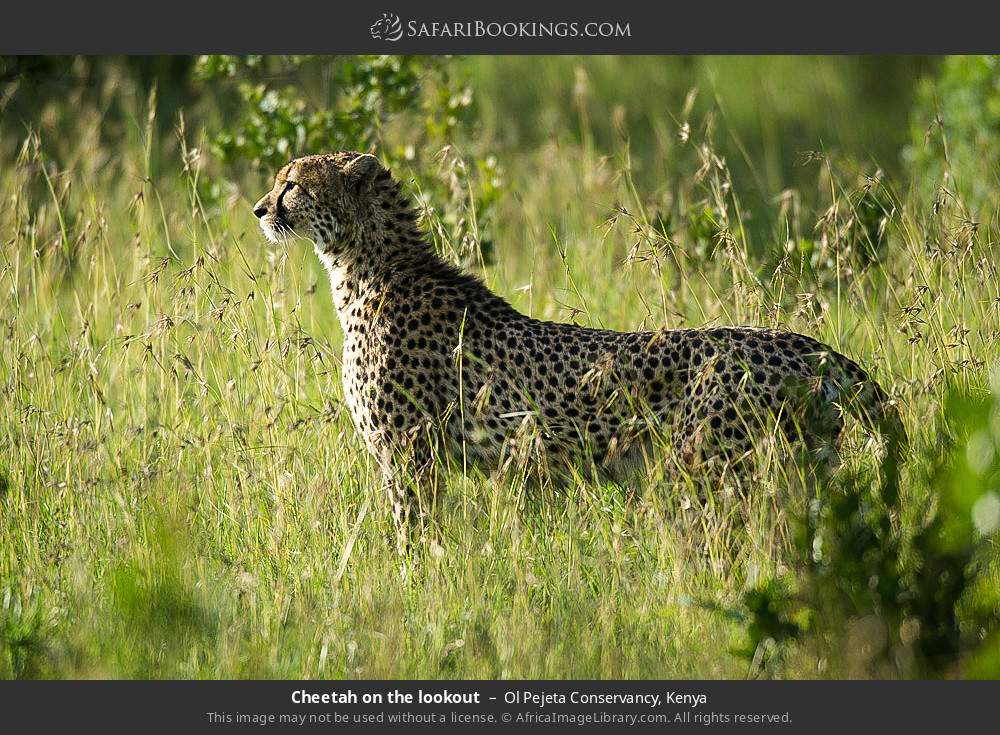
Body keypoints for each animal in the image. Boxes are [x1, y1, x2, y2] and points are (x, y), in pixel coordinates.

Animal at [253, 151, 905, 553]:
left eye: (292, 184)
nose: (260, 209)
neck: (365, 270)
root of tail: (806, 346)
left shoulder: (409, 456)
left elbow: (413, 536)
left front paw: (412, 584)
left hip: (728, 476)